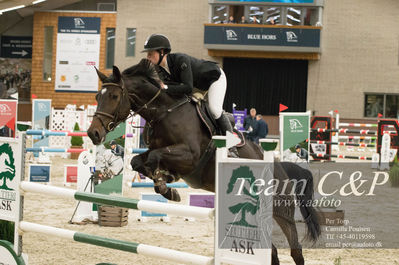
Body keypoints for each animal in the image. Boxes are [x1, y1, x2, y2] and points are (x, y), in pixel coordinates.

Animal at [88, 59, 322, 264]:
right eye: (97, 96)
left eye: (115, 96)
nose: (93, 133)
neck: (165, 112)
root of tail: (282, 167)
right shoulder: (156, 151)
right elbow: (138, 161)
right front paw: (166, 184)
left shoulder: (190, 156)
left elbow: (155, 158)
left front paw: (166, 187)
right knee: (272, 252)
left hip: (280, 210)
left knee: (295, 250)